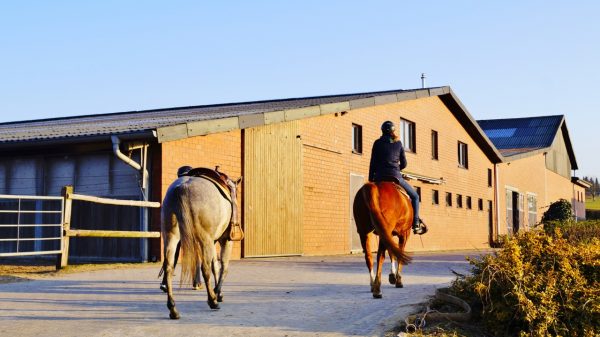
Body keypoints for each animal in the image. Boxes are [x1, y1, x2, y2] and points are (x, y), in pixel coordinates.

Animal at [162, 171, 244, 318]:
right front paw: (217, 293)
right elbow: (223, 267)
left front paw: (218, 293)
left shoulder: (213, 241)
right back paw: (212, 300)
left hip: (170, 236)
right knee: (205, 268)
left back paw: (173, 308)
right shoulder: (225, 240)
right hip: (205, 240)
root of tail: (182, 188)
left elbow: (215, 266)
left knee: (169, 267)